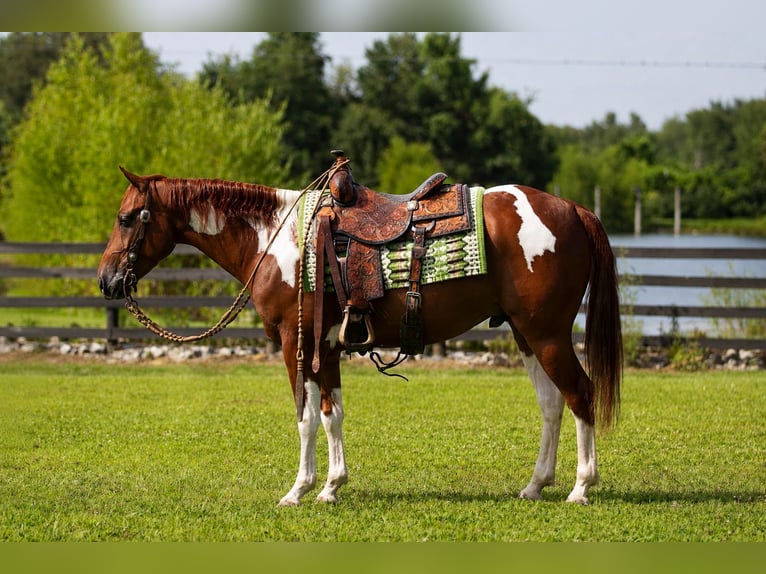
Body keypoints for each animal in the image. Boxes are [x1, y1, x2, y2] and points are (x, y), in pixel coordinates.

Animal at [97, 166, 622, 506]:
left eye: (125, 219)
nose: (106, 280)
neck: (277, 237)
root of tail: (572, 208)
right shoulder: (326, 346)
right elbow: (332, 415)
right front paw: (330, 486)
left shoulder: (296, 343)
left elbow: (306, 417)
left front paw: (299, 490)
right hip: (526, 334)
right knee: (552, 404)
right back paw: (535, 485)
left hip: (547, 333)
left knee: (581, 393)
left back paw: (580, 487)